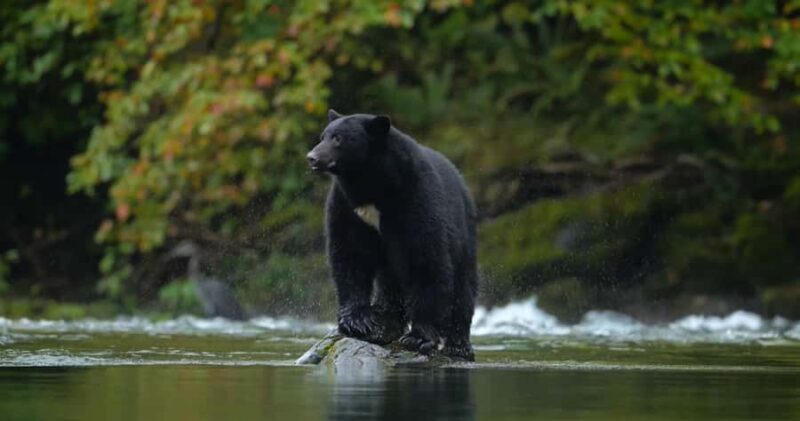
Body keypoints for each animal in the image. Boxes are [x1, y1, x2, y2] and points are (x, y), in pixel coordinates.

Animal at [306, 109, 478, 361]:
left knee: (463, 284)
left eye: (338, 138)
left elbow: (425, 259)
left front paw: (418, 336)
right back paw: (386, 315)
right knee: (390, 277)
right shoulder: (346, 206)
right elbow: (350, 254)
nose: (312, 157)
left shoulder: (416, 197)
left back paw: (459, 345)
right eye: (322, 136)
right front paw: (357, 320)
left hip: (464, 232)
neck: (374, 187)